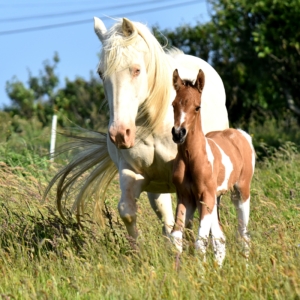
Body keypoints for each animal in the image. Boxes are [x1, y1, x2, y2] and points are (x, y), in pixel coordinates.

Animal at [45, 16, 229, 241]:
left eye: (137, 70)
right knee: (167, 220)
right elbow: (129, 212)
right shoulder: (133, 173)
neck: (156, 125)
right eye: (100, 73)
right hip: (158, 189)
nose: (119, 134)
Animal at [170, 69, 254, 266]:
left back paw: (246, 266)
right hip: (215, 198)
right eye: (173, 104)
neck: (192, 158)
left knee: (243, 234)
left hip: (240, 193)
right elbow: (176, 236)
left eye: (197, 107)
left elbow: (200, 241)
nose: (178, 133)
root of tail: (241, 134)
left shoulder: (205, 196)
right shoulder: (185, 197)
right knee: (220, 238)